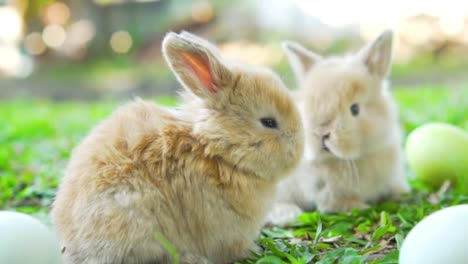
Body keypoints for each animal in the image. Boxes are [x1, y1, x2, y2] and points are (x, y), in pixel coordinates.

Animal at [268, 29, 408, 224]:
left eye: (355, 108)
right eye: (307, 107)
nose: (321, 133)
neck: (359, 157)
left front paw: (401, 194)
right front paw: (360, 207)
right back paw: (289, 214)